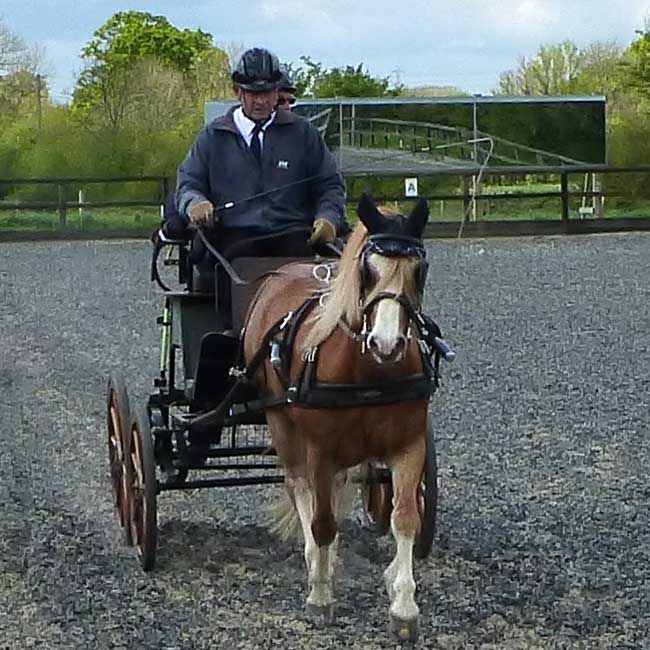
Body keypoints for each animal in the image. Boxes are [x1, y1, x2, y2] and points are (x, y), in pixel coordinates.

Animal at [243, 192, 430, 636]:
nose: (386, 343)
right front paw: (320, 593)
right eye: (367, 268)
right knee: (298, 488)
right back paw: (316, 562)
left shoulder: (409, 444)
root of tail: (284, 271)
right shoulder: (320, 452)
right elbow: (323, 521)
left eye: (419, 269)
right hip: (281, 424)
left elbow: (405, 517)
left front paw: (403, 604)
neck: (368, 372)